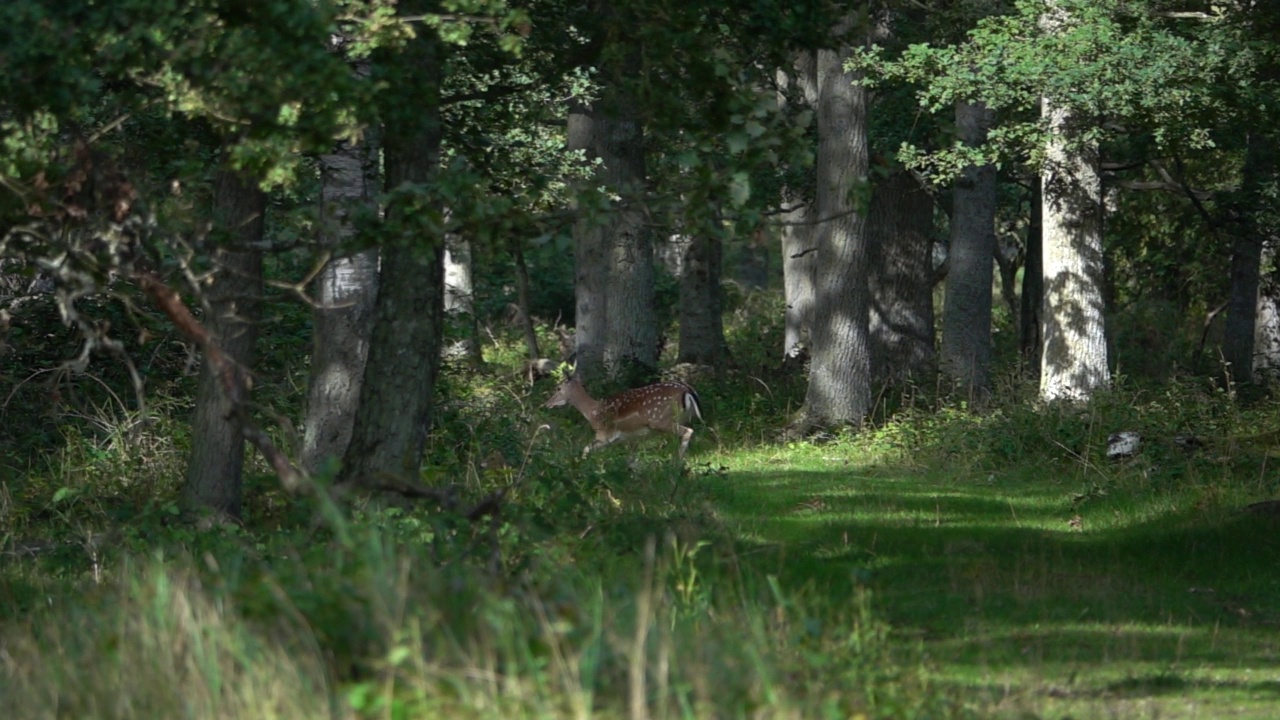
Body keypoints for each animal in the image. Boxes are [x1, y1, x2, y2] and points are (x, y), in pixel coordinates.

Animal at [545, 371, 706, 456]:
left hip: (660, 420)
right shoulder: (631, 439)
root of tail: (688, 390)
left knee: (688, 431)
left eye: (558, 388)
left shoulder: (605, 435)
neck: (592, 412)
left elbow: (585, 449)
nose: (547, 403)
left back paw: (677, 461)